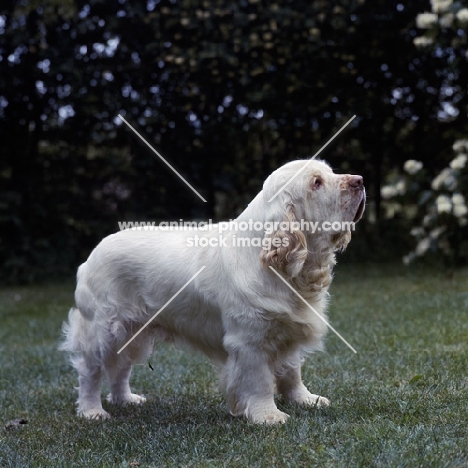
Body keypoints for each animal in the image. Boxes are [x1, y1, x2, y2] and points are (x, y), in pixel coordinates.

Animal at [59, 158, 366, 424]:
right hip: (103, 329)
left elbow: (292, 371)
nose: (360, 181)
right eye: (316, 182)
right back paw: (91, 411)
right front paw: (268, 416)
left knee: (120, 367)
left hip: (133, 330)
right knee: (90, 371)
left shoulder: (286, 327)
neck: (283, 269)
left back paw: (125, 399)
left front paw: (304, 399)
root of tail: (89, 258)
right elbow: (259, 381)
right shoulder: (249, 341)